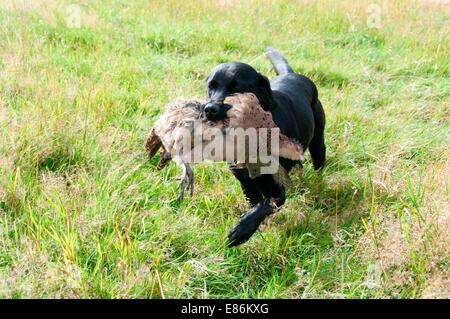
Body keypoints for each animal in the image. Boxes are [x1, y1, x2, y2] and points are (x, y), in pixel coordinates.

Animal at [205, 47, 326, 248]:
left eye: (237, 87)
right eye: (210, 87)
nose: (209, 109)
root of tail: (292, 74)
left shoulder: (277, 191)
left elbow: (264, 206)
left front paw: (241, 232)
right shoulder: (247, 184)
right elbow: (257, 205)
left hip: (318, 144)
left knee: (319, 167)